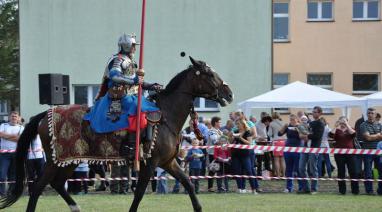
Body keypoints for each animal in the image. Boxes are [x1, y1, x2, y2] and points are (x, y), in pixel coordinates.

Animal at [0, 56, 233, 212]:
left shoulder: (168, 162)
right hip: (56, 160)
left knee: (56, 183)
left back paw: (76, 208)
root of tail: (45, 114)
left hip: (70, 159)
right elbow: (139, 193)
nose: (229, 93)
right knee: (38, 187)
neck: (166, 116)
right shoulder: (150, 163)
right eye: (210, 74)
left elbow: (188, 184)